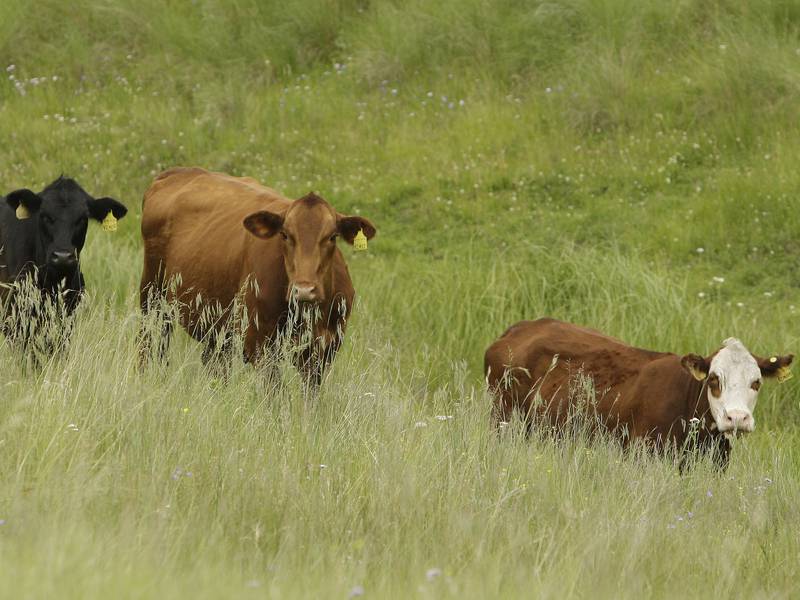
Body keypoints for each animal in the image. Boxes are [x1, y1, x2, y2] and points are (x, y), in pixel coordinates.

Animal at [138, 167, 376, 384]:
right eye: (285, 235)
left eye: (332, 236)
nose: (304, 290)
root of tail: (179, 172)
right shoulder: (260, 344)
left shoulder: (323, 350)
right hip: (152, 297)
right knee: (148, 343)